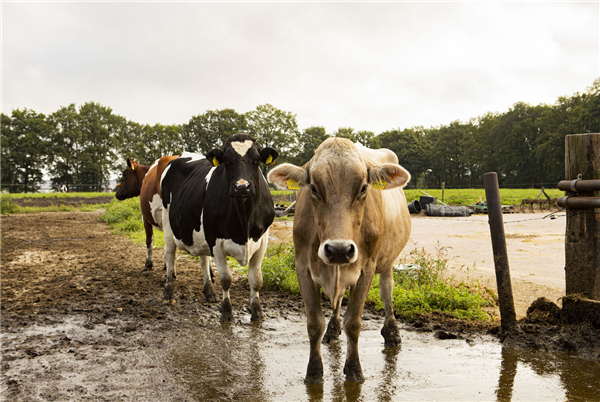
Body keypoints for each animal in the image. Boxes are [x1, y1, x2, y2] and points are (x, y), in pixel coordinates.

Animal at [161, 133, 280, 322]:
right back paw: (168, 294)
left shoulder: (262, 241)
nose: (242, 187)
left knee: (203, 260)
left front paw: (257, 312)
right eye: (227, 161)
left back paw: (209, 291)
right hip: (168, 224)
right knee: (170, 256)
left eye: (256, 160)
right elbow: (225, 279)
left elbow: (256, 279)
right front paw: (226, 311)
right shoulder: (215, 241)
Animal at [268, 138, 412, 384]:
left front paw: (354, 370)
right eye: (314, 188)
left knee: (387, 290)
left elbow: (353, 323)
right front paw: (314, 372)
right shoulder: (302, 268)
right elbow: (314, 323)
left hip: (387, 260)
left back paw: (392, 332)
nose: (338, 249)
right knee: (339, 299)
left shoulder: (367, 269)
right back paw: (333, 329)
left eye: (363, 188)